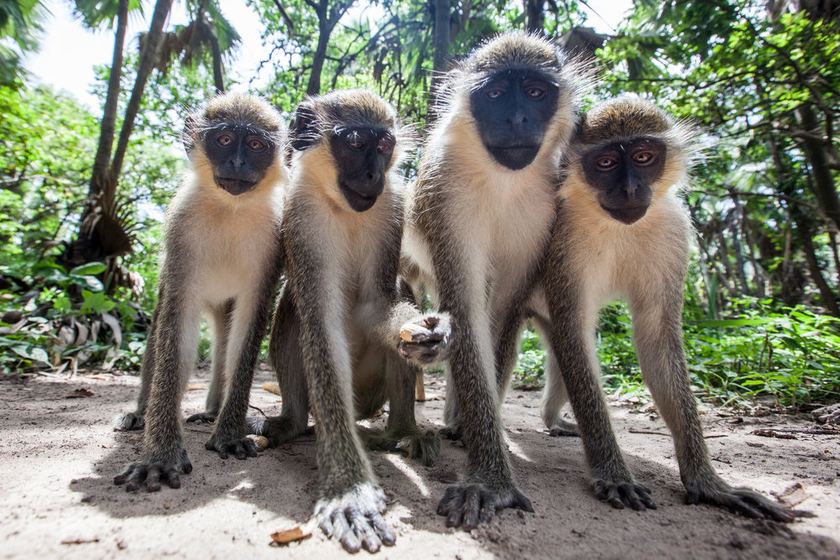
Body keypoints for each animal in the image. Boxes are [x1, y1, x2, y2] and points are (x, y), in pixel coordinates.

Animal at [113, 93, 287, 492]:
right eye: (224, 139)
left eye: (255, 145)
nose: (237, 162)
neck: (230, 209)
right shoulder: (181, 226)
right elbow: (176, 327)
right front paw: (160, 456)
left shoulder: (274, 238)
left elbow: (249, 326)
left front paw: (229, 434)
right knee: (159, 330)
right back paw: (141, 413)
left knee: (224, 339)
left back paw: (212, 412)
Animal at [266, 90, 452, 553]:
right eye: (353, 142)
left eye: (384, 145)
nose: (373, 174)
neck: (340, 205)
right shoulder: (300, 214)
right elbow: (319, 327)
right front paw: (349, 490)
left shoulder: (393, 205)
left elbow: (377, 304)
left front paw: (430, 335)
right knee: (291, 309)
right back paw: (293, 423)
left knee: (401, 295)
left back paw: (400, 433)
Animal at [402, 32, 584, 529]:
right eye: (498, 93)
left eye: (536, 92)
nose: (517, 118)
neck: (503, 180)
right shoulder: (445, 197)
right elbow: (465, 309)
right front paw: (490, 479)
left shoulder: (545, 211)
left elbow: (501, 314)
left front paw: (478, 445)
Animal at [533, 95, 793, 521]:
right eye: (606, 162)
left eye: (643, 156)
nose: (629, 188)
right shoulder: (564, 238)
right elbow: (574, 330)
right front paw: (613, 472)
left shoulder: (673, 231)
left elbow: (654, 335)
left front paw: (707, 482)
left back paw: (553, 419)